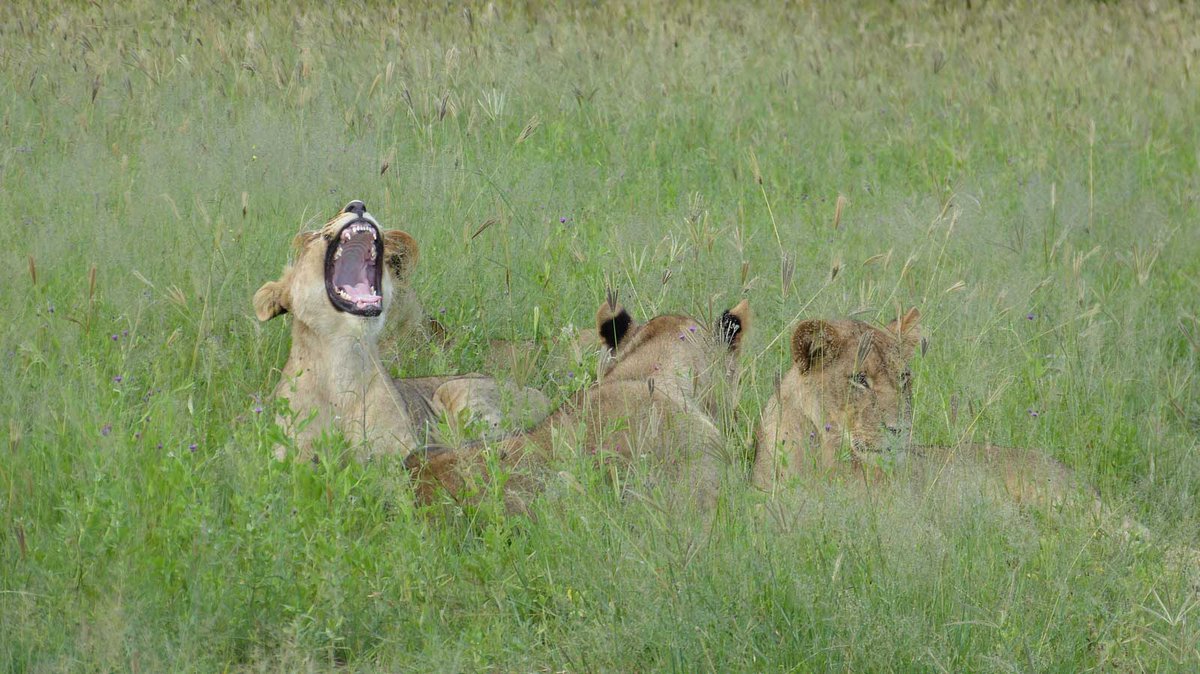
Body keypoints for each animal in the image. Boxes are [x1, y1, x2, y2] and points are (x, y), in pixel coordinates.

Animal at [253, 200, 549, 462]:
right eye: (312, 238)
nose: (357, 205)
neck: (343, 359)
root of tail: (542, 394)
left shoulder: (399, 450)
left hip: (455, 389)